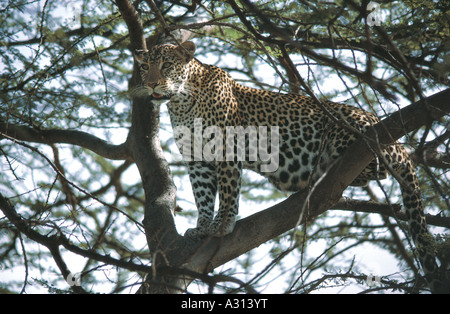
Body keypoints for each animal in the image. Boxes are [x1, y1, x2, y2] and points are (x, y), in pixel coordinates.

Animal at [134, 40, 442, 290]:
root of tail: (394, 138)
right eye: (145, 67)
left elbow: (228, 192)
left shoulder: (226, 148)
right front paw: (202, 227)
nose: (152, 84)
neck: (182, 102)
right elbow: (203, 196)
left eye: (166, 65)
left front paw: (222, 225)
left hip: (348, 130)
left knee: (376, 169)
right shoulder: (197, 158)